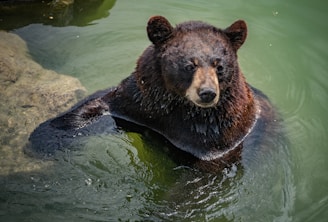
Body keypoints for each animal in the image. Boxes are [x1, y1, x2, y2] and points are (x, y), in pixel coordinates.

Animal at [28, 16, 280, 172]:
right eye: (190, 64)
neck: (179, 107)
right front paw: (43, 136)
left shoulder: (216, 137)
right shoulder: (139, 101)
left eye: (219, 66)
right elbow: (98, 106)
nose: (207, 93)